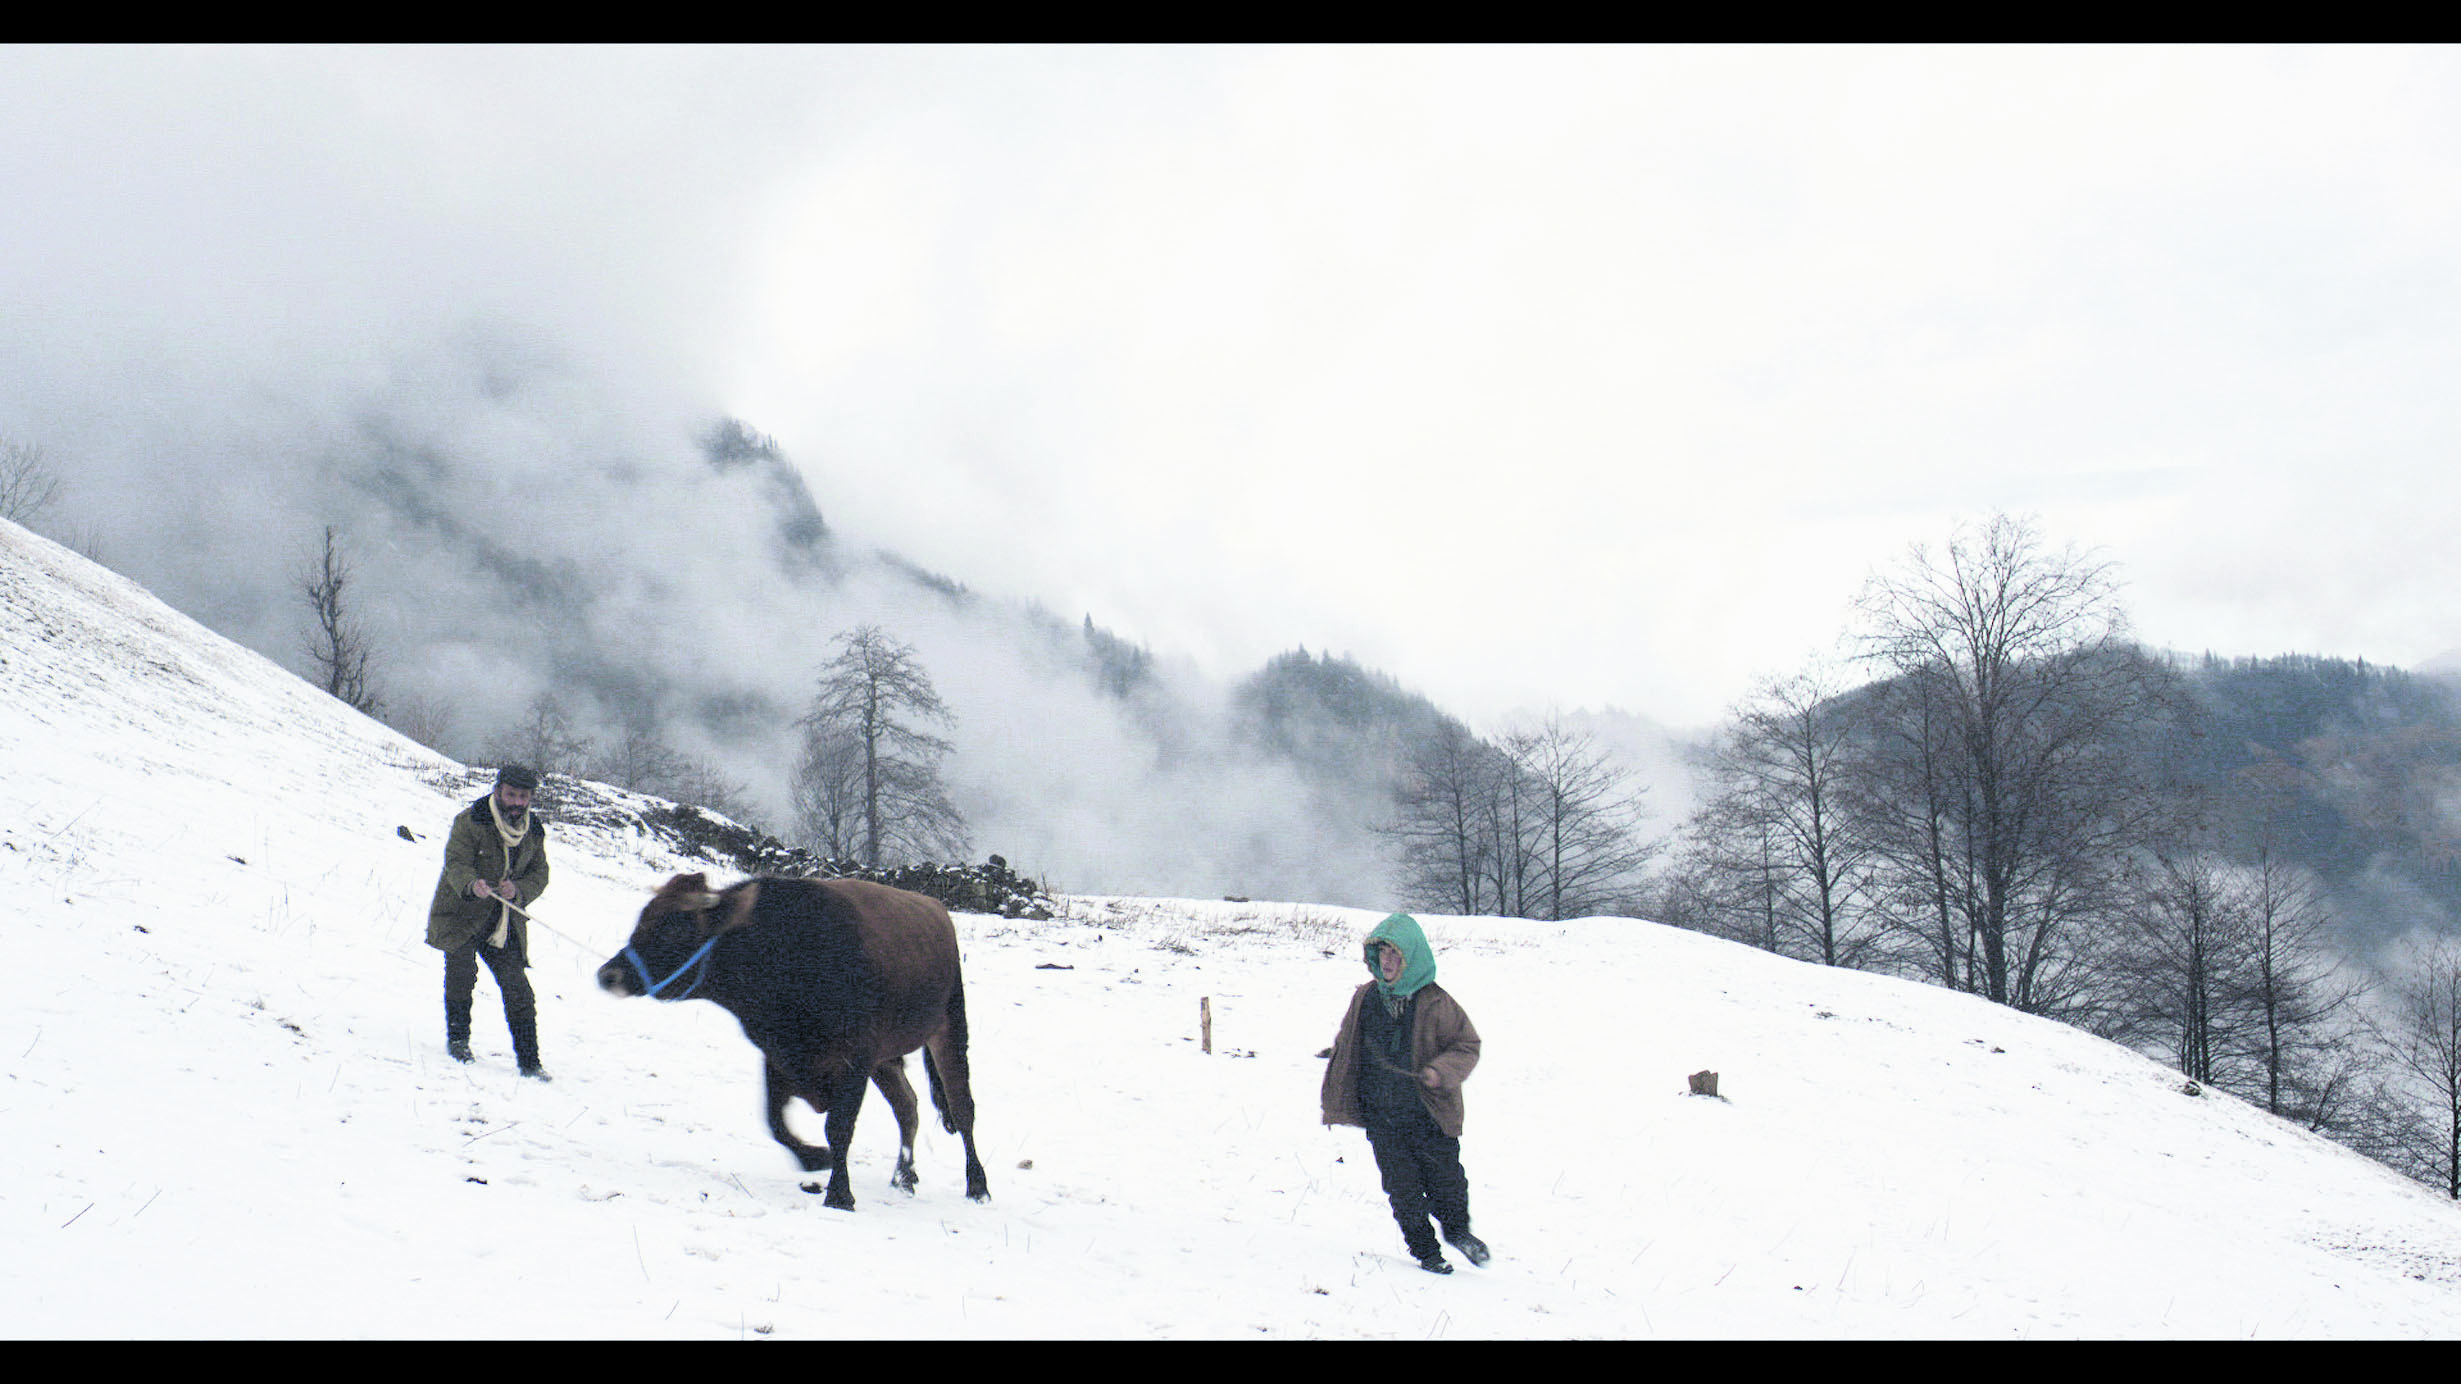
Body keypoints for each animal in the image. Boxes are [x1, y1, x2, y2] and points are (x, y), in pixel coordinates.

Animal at [595, 871, 989, 1206]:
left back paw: (977, 1185)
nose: (608, 974)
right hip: (886, 1060)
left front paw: (839, 1194)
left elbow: (839, 1127)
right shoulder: (778, 1055)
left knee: (963, 1109)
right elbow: (775, 1122)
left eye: (675, 930)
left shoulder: (855, 1058)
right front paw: (815, 1158)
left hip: (950, 1030)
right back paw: (903, 1176)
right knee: (907, 1106)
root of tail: (937, 909)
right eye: (643, 918)